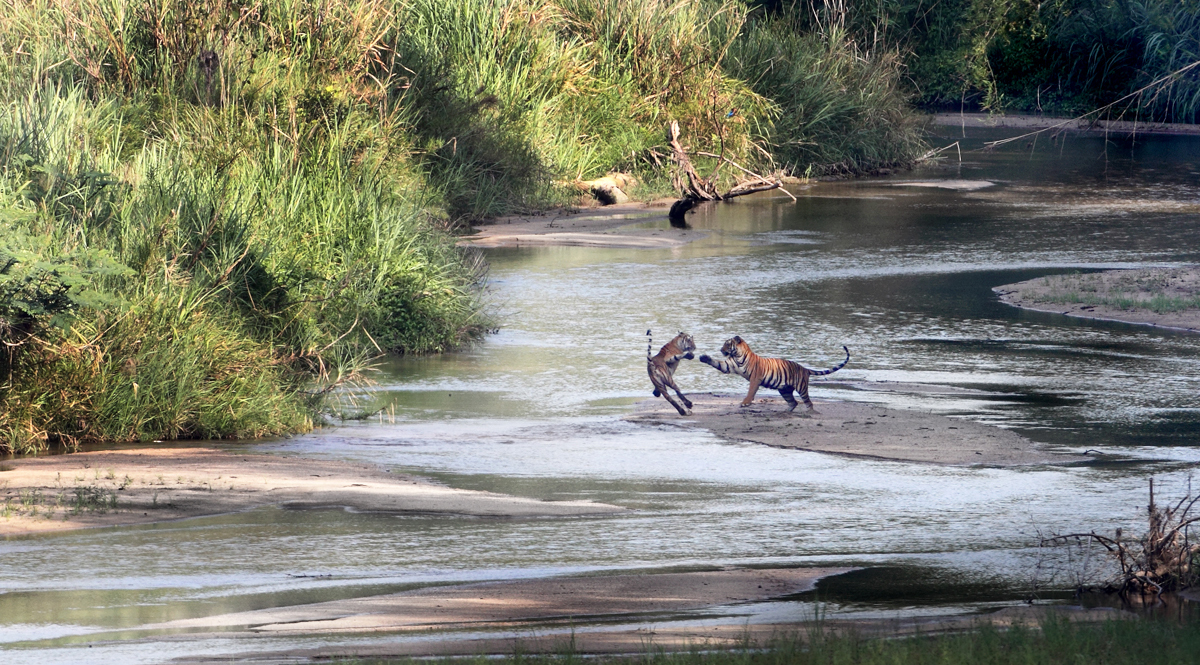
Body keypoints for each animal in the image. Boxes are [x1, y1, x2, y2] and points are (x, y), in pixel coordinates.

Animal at [700, 333, 849, 410]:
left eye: (727, 344)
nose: (721, 350)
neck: (737, 356)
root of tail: (804, 368)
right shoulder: (729, 365)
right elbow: (718, 363)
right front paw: (704, 357)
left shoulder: (755, 378)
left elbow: (751, 391)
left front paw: (745, 402)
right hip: (784, 390)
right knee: (793, 402)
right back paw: (786, 411)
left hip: (801, 388)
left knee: (808, 403)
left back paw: (810, 413)